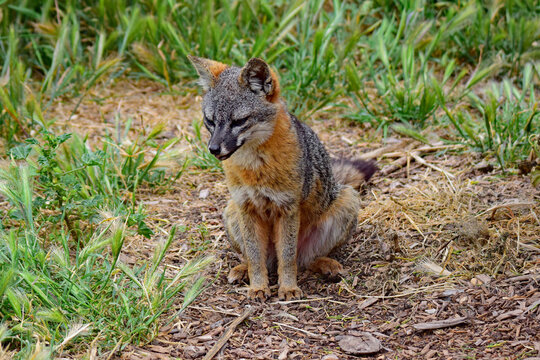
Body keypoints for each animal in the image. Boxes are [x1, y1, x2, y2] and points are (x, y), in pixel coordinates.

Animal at [187, 56, 376, 300]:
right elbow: (255, 258)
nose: (213, 149)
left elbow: (287, 258)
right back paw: (243, 270)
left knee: (303, 260)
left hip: (347, 201)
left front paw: (288, 288)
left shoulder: (288, 208)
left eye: (239, 121)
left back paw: (326, 265)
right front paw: (258, 287)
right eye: (210, 121)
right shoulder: (246, 206)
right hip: (231, 211)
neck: (255, 167)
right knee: (258, 258)